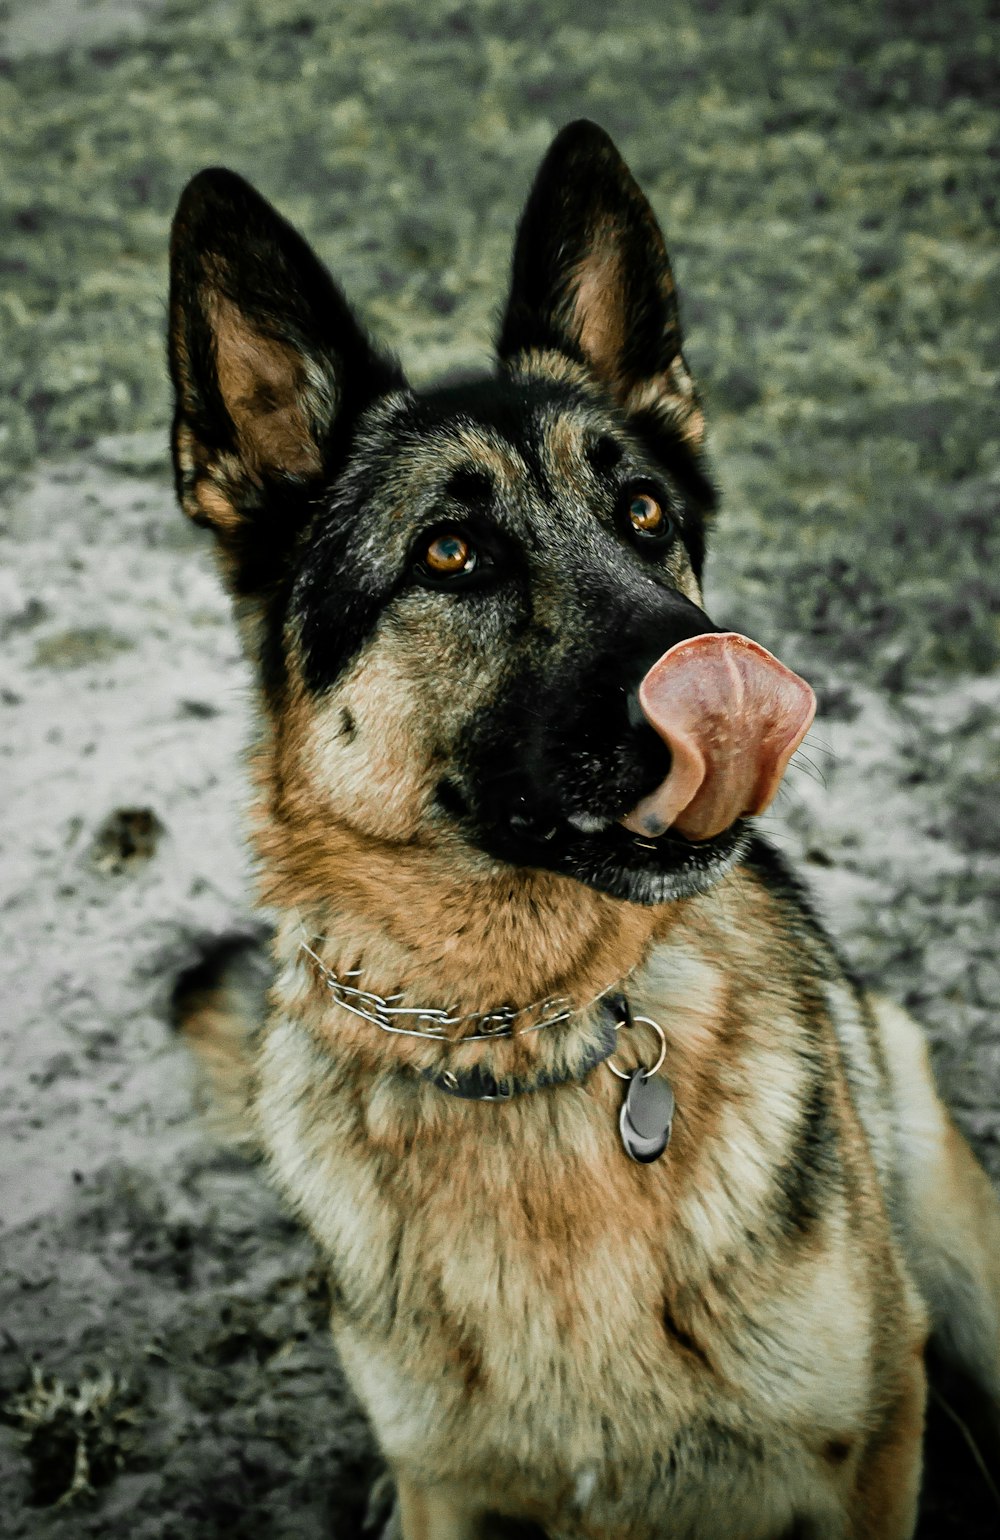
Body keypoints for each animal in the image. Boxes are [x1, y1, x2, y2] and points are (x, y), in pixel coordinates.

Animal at [165, 113, 998, 1533]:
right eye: (449, 554)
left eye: (646, 514)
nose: (743, 684)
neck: (521, 1040)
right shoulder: (445, 1489)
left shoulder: (877, 1438)